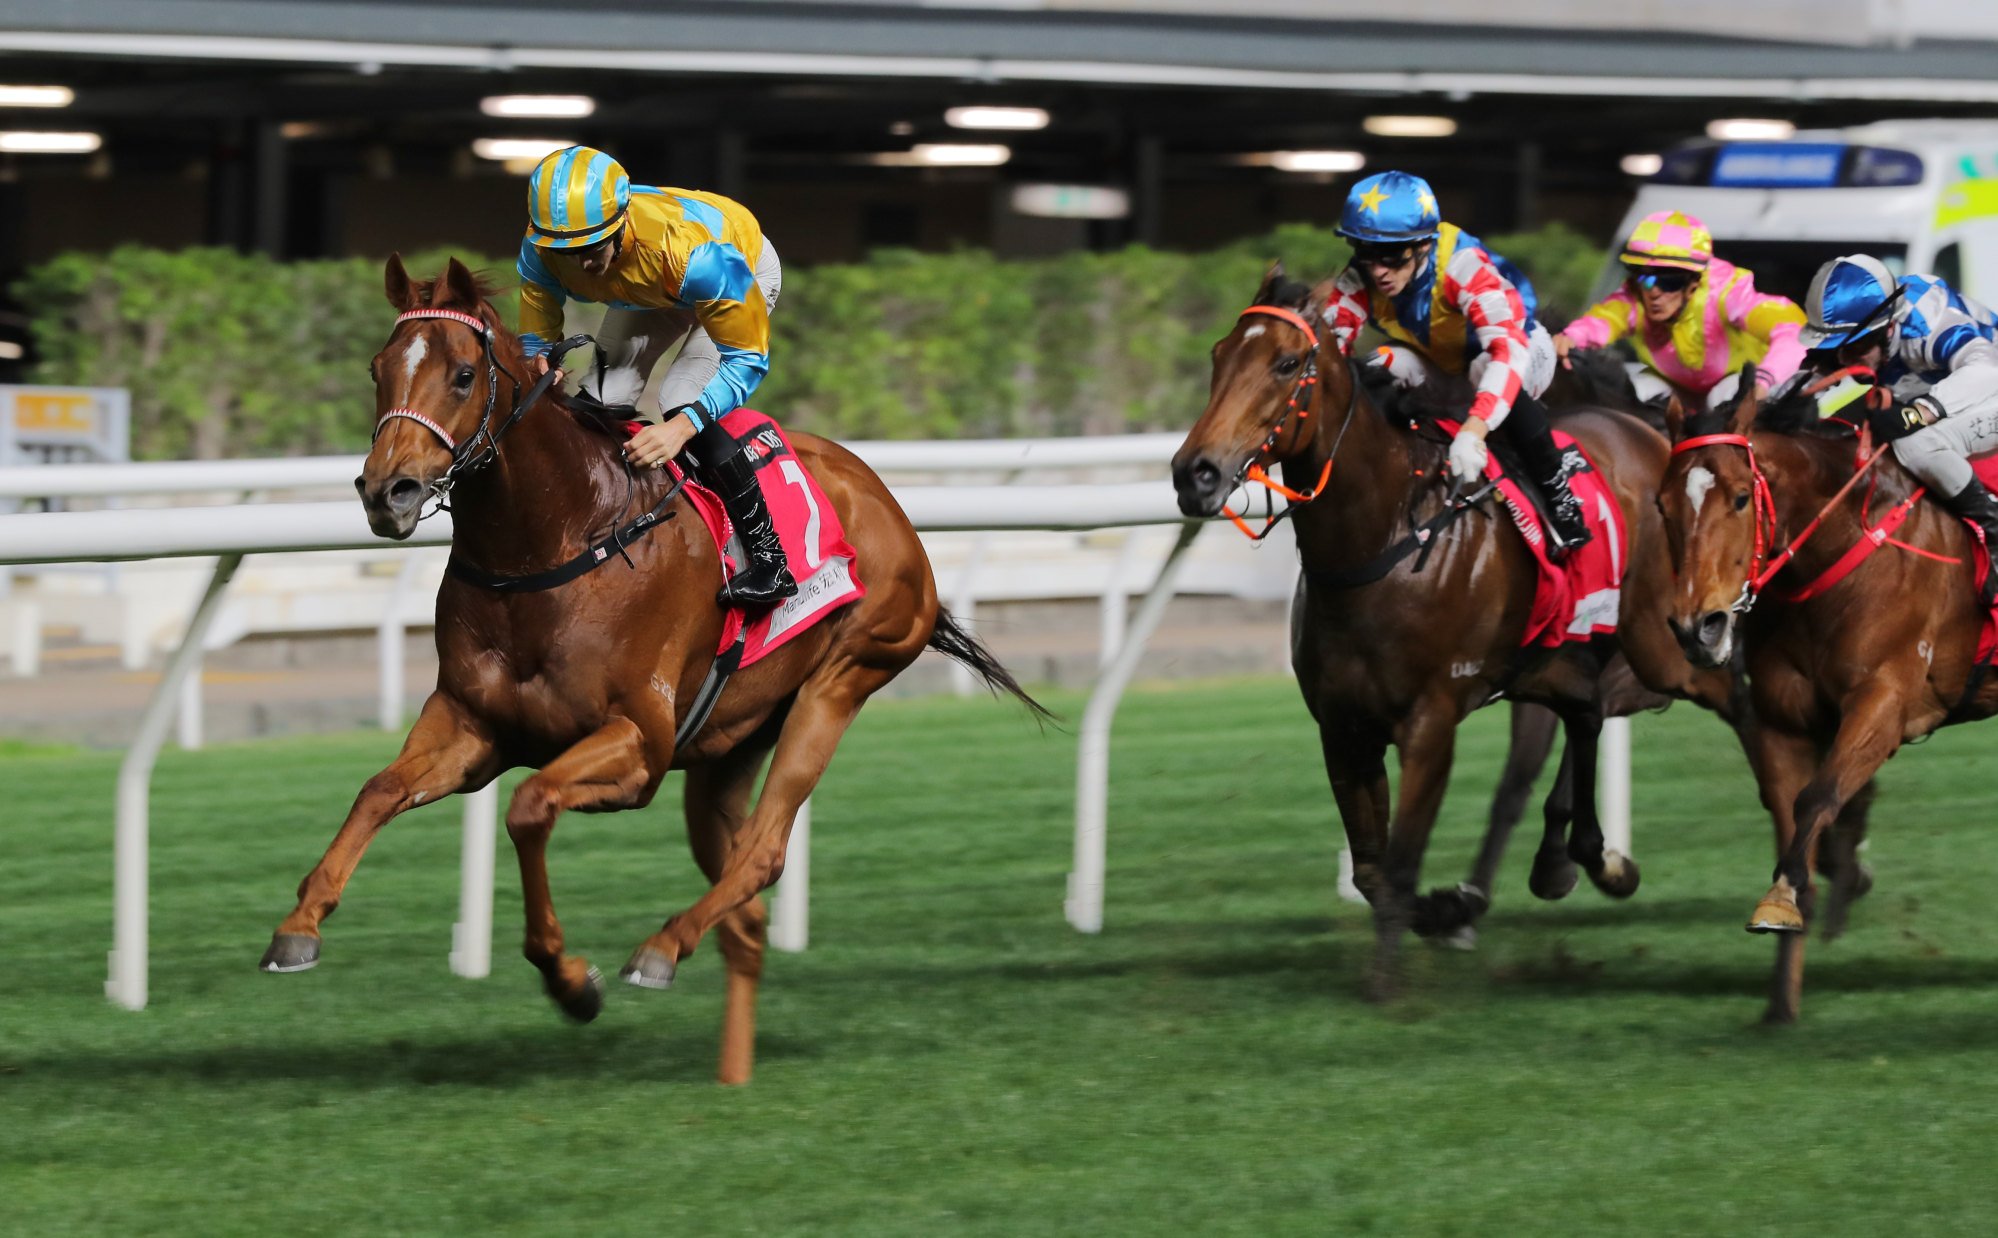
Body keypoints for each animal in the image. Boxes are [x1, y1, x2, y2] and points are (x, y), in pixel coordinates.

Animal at [257, 259, 1046, 1086]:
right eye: (377, 370)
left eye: (463, 374)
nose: (388, 492)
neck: (556, 537)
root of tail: (887, 503)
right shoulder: (474, 726)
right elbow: (380, 789)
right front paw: (299, 925)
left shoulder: (638, 744)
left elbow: (529, 805)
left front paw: (570, 980)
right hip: (728, 749)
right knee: (747, 912)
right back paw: (731, 1069)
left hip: (840, 684)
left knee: (764, 852)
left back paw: (661, 950)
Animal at [1166, 267, 1734, 994]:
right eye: (1218, 357)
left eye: (1286, 364)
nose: (1195, 473)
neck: (1383, 542)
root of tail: (1651, 431)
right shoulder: (1343, 728)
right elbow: (1373, 869)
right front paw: (1449, 908)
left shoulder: (1430, 724)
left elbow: (1403, 858)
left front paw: (1390, 980)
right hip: (1557, 658)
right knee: (1585, 712)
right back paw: (1582, 861)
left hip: (1667, 646)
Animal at [1646, 371, 1990, 1022]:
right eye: (1662, 504)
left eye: (1739, 497)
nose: (1697, 629)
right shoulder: (1784, 720)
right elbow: (1792, 822)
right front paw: (1780, 997)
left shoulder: (1884, 700)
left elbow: (1819, 799)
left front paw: (1784, 897)